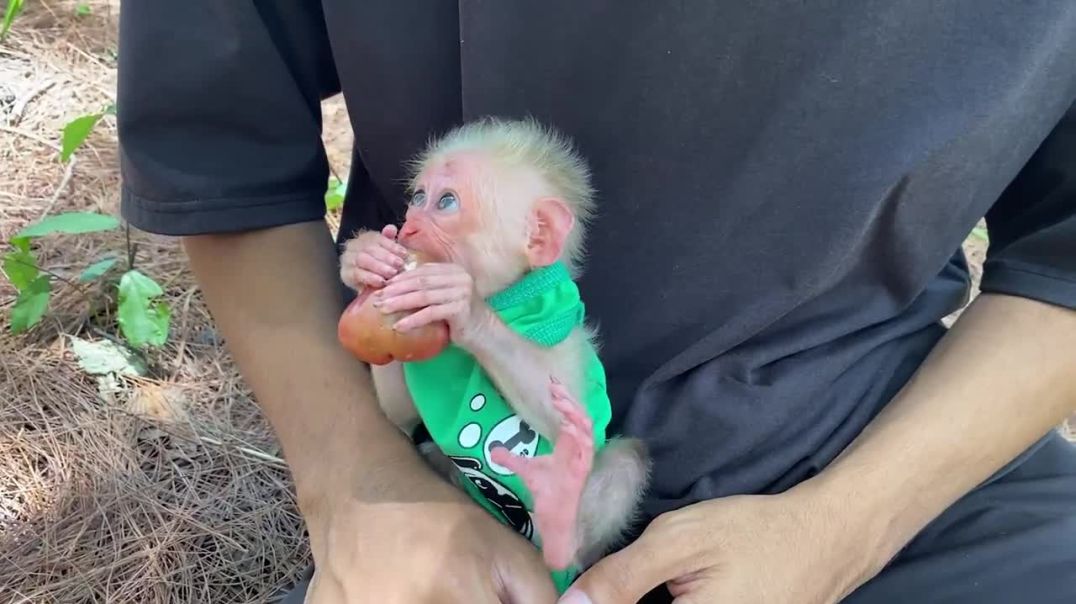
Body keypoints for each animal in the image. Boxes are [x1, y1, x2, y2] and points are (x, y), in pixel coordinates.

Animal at [338, 117, 650, 589]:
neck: (504, 296)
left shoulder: (558, 322)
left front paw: (463, 305)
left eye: (446, 202)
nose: (408, 227)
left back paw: (562, 522)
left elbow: (567, 408)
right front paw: (364, 258)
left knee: (624, 464)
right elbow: (399, 414)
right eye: (418, 198)